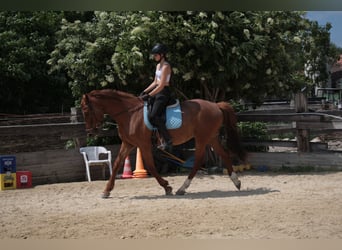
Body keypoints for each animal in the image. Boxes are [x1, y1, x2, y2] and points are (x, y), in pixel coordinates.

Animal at [81, 89, 246, 198]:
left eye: (86, 110)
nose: (90, 133)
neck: (130, 114)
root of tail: (216, 105)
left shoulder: (143, 145)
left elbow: (151, 166)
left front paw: (167, 187)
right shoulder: (128, 144)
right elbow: (116, 165)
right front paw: (106, 190)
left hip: (202, 138)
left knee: (198, 160)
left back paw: (182, 188)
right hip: (210, 137)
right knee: (224, 154)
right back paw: (236, 182)